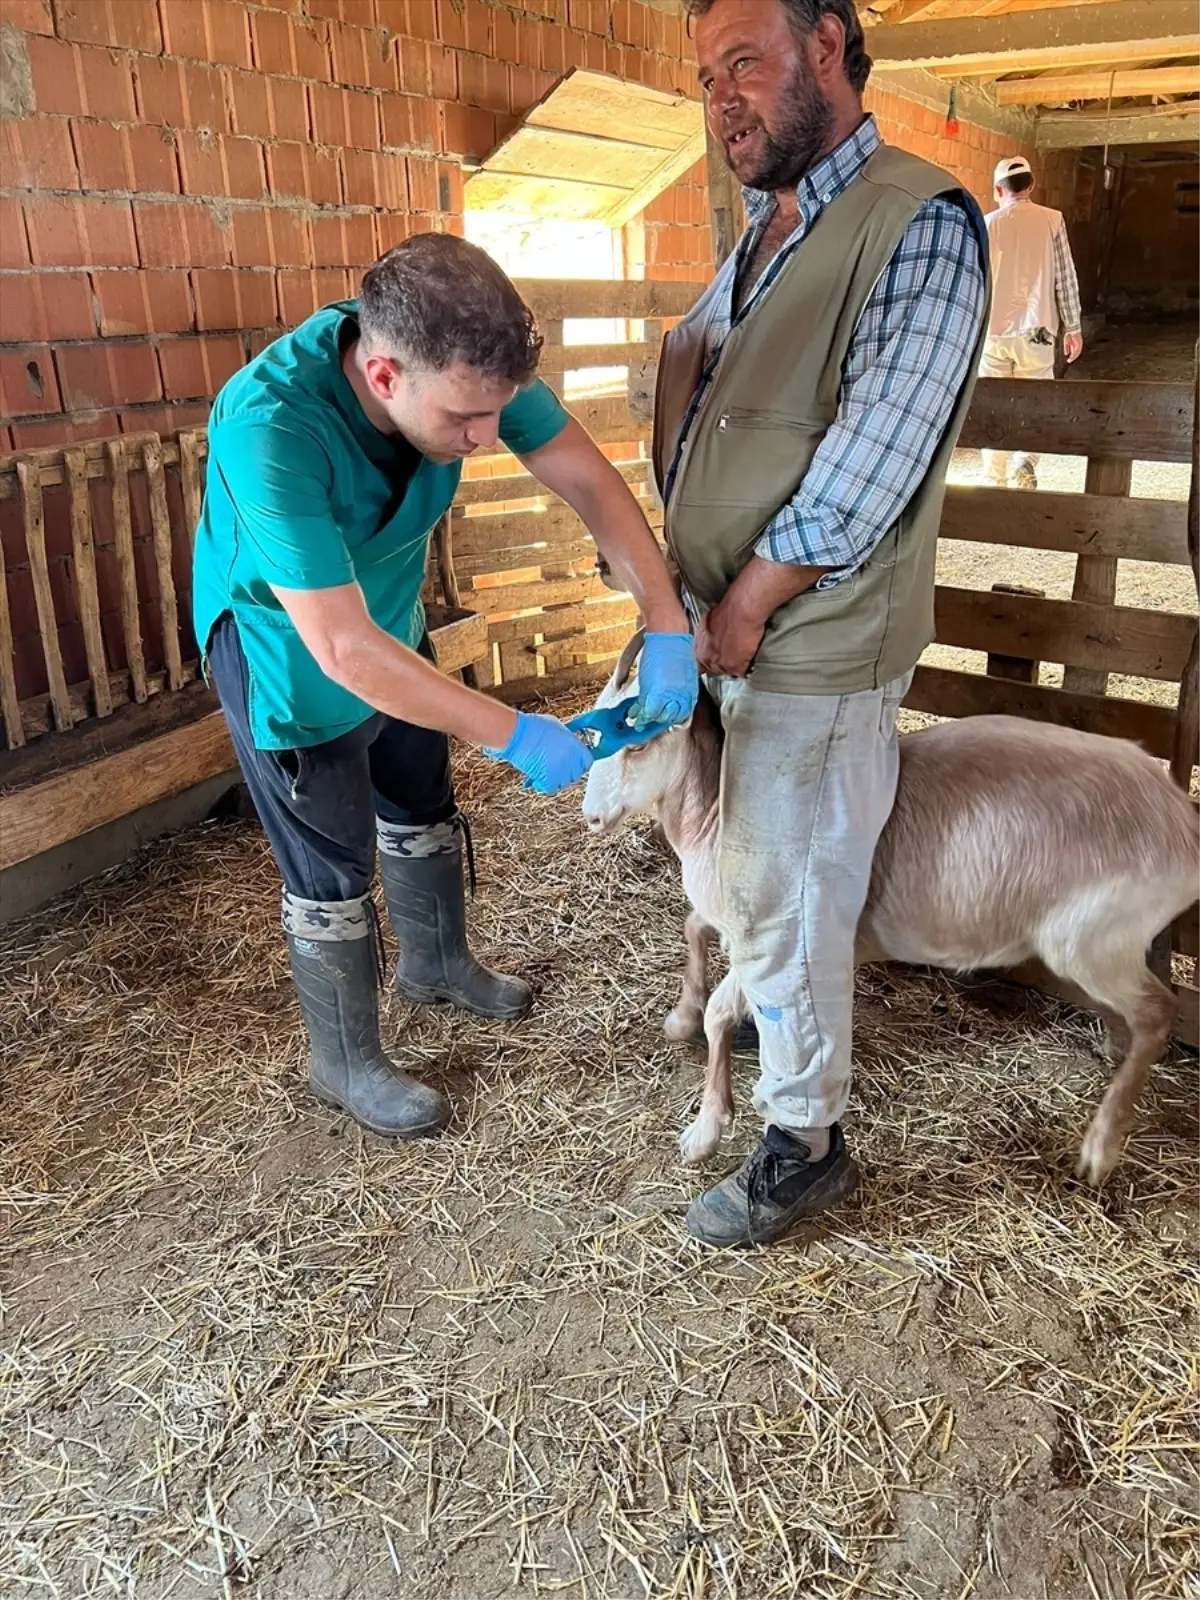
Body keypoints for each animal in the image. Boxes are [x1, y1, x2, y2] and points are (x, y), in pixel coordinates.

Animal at [582, 630, 1200, 1184]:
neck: (718, 808)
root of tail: (1181, 819)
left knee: (1159, 1012)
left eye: (639, 742)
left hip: (1089, 942)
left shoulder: (771, 933)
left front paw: (705, 1130)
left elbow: (720, 1011)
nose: (592, 817)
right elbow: (694, 930)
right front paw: (681, 1016)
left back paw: (1101, 1147)